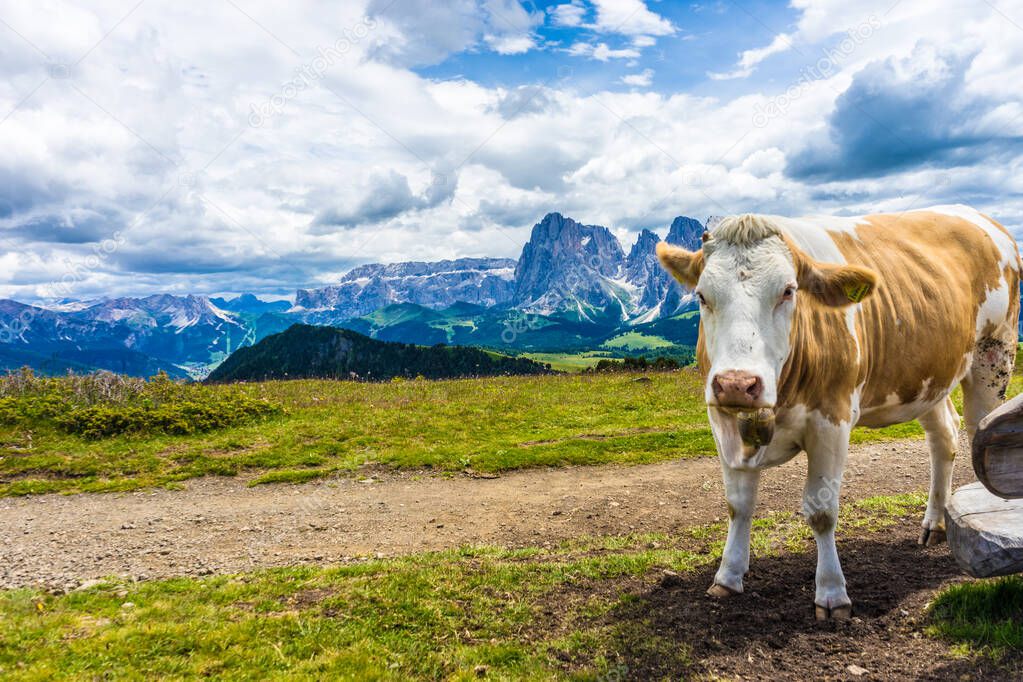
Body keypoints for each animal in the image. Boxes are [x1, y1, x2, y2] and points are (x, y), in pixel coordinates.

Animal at [658, 205, 1018, 621]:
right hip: (927, 378)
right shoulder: (722, 421)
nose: (736, 383)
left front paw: (831, 593)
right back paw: (935, 523)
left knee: (979, 434)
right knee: (944, 435)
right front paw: (728, 575)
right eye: (702, 295)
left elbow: (821, 510)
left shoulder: (831, 420)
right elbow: (738, 505)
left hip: (994, 355)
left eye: (788, 291)